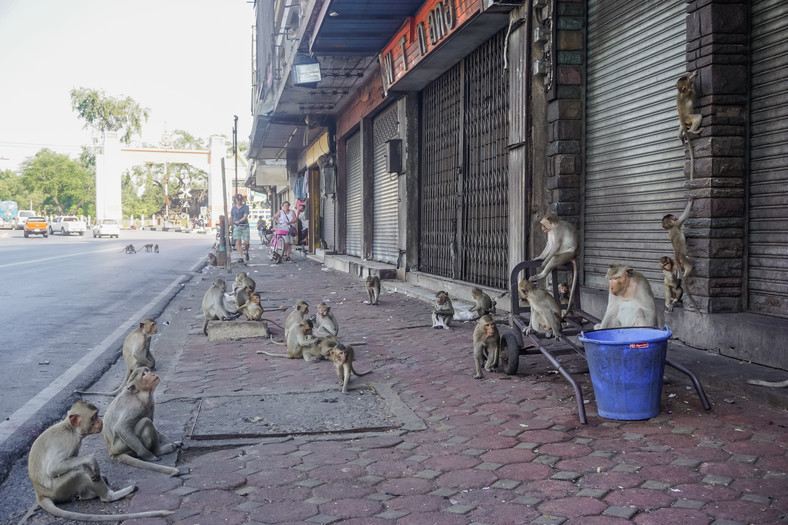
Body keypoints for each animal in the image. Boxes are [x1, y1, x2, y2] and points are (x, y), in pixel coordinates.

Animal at [25, 402, 173, 520]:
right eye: (94, 417)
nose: (100, 421)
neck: (71, 429)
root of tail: (40, 494)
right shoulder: (68, 441)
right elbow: (53, 468)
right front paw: (92, 461)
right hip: (58, 489)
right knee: (82, 471)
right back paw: (110, 496)